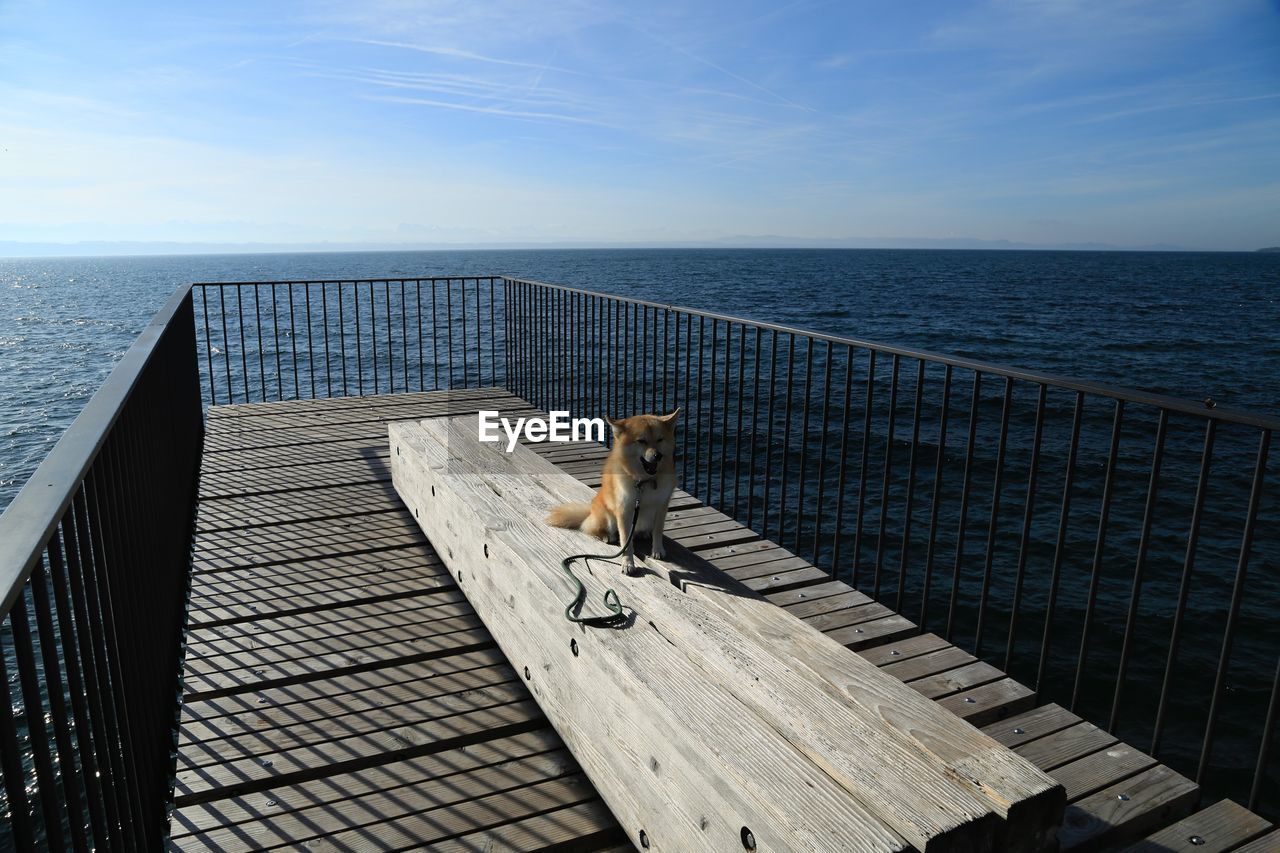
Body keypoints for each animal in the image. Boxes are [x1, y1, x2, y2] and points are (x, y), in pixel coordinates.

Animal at [545, 409, 680, 573]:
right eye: (641, 441)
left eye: (660, 439)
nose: (657, 455)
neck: (644, 481)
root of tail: (590, 511)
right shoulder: (624, 511)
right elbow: (626, 542)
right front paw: (628, 563)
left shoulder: (661, 506)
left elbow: (658, 531)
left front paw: (658, 550)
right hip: (608, 518)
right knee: (592, 529)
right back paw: (606, 536)